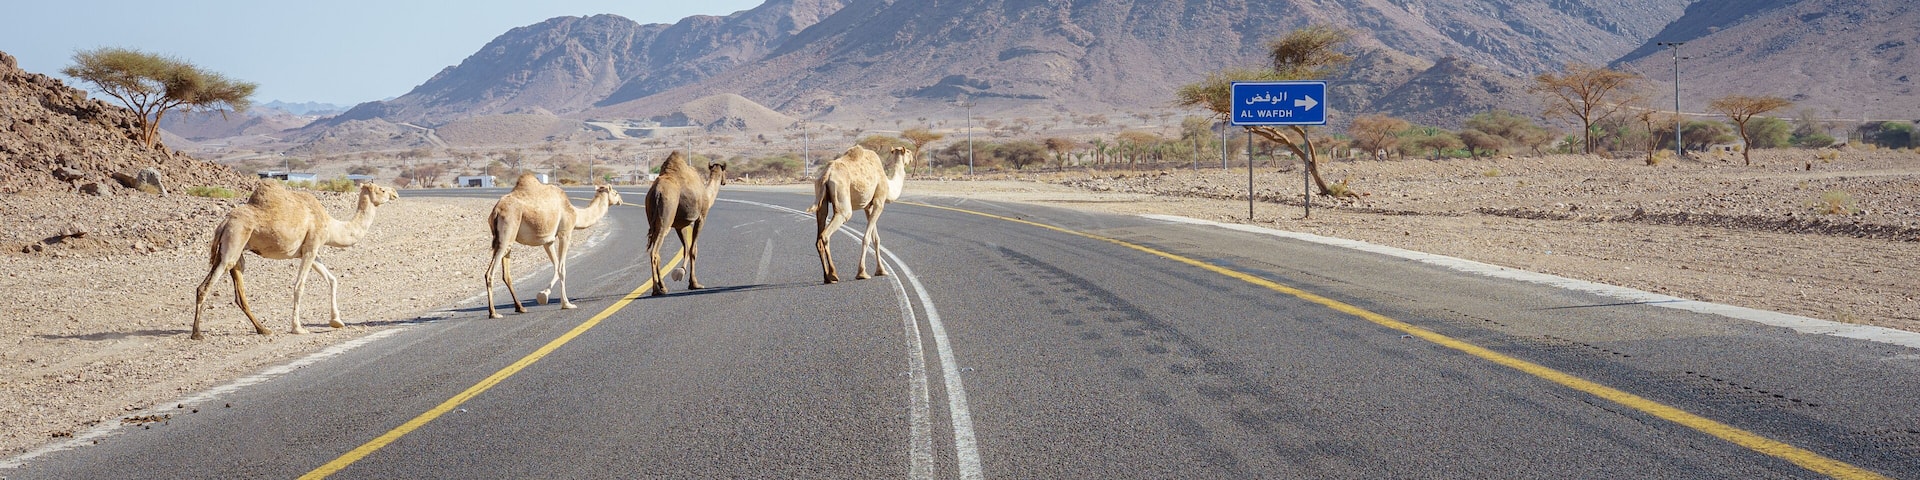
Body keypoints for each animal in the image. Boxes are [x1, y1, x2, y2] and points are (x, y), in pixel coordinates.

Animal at [192, 181, 399, 339]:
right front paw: (298, 328)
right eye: (381, 189)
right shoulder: (312, 246)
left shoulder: (309, 251)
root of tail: (224, 223)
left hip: (235, 249)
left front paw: (336, 321)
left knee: (238, 289)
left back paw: (263, 329)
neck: (331, 225)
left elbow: (332, 280)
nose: (395, 193)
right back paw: (197, 333)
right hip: (234, 240)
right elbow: (300, 285)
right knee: (205, 286)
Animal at [484, 175, 624, 318]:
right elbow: (562, 268)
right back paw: (493, 313)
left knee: (506, 274)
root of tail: (496, 211)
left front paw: (543, 295)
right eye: (615, 192)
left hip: (508, 240)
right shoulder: (565, 233)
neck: (575, 214)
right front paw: (566, 304)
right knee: (489, 273)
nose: (621, 200)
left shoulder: (548, 240)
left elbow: (556, 266)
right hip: (506, 233)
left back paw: (520, 307)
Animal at [644, 151, 726, 296]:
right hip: (666, 217)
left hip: (652, 218)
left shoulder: (680, 225)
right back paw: (656, 290)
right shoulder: (701, 217)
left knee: (656, 251)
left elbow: (686, 249)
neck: (707, 194)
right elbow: (693, 250)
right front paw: (694, 284)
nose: (725, 181)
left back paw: (662, 287)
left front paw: (682, 274)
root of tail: (656, 193)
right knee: (654, 252)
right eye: (725, 172)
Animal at [812, 146, 912, 284]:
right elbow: (866, 238)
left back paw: (827, 277)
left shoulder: (868, 207)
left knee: (819, 234)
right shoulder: (879, 202)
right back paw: (833, 274)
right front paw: (862, 273)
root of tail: (826, 175)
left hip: (821, 200)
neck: (888, 182)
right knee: (827, 233)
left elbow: (876, 238)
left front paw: (881, 271)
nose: (912, 158)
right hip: (842, 201)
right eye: (908, 152)